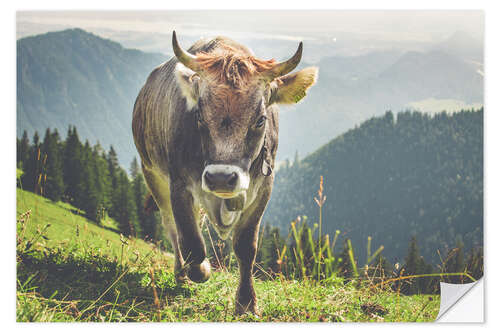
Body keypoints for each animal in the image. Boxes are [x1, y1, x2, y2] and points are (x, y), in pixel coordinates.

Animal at [133, 31, 318, 314]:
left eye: (260, 119)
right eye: (199, 115)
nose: (220, 178)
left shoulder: (264, 188)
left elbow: (245, 246)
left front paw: (246, 302)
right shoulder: (179, 184)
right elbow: (191, 244)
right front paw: (201, 270)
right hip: (151, 172)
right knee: (171, 226)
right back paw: (181, 273)